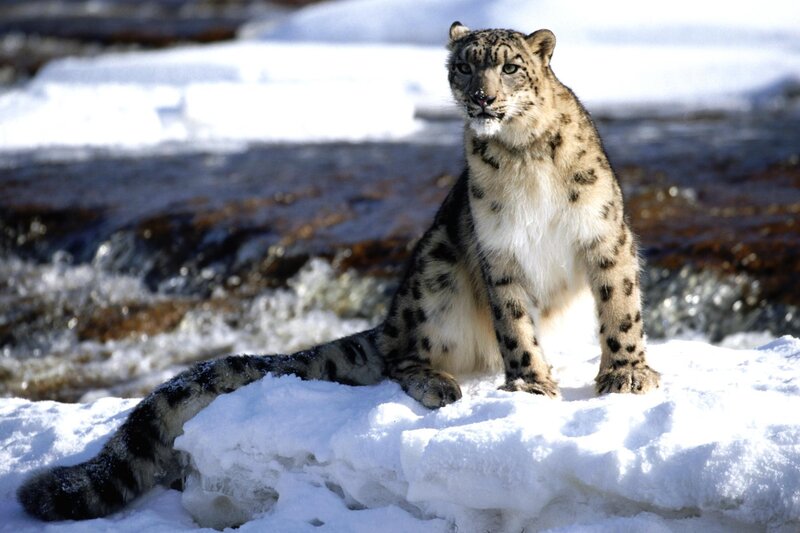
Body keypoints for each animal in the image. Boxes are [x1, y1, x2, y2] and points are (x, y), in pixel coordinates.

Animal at [17, 22, 660, 522]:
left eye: (510, 66)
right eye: (464, 68)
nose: (481, 98)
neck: (524, 158)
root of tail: (392, 319)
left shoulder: (604, 234)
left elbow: (620, 305)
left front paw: (626, 374)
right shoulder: (497, 253)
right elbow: (515, 325)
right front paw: (530, 384)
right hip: (436, 269)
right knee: (403, 355)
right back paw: (437, 381)